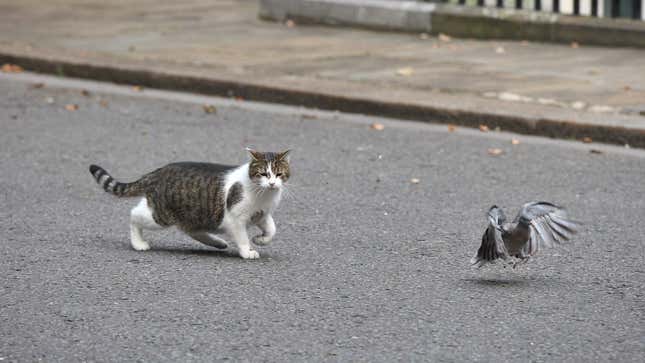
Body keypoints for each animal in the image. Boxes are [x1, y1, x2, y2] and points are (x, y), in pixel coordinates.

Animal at [88, 149, 290, 260]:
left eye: (279, 174)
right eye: (263, 174)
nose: (272, 183)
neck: (264, 195)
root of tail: (158, 171)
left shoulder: (262, 214)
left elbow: (272, 230)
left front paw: (261, 240)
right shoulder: (236, 219)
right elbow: (242, 238)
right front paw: (247, 251)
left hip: (194, 214)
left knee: (190, 229)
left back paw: (217, 242)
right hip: (161, 215)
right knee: (134, 214)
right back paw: (138, 243)